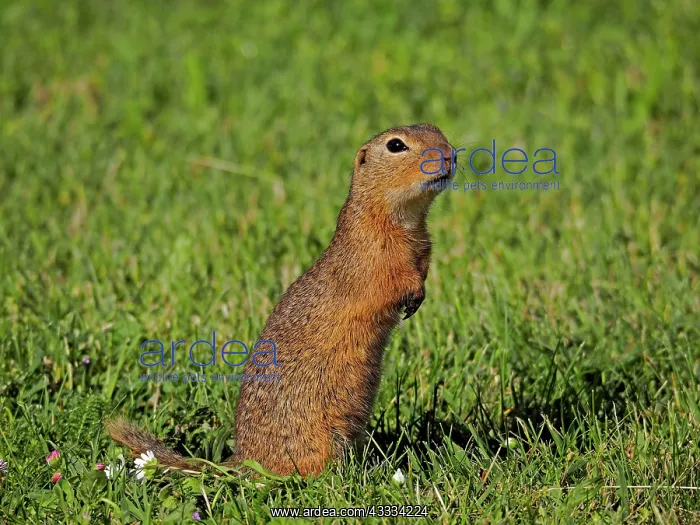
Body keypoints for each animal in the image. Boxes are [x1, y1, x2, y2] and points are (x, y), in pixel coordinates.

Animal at [107, 123, 455, 477]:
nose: (449, 155)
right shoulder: (373, 258)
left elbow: (422, 267)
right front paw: (413, 295)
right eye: (396, 145)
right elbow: (393, 281)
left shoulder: (422, 249)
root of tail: (241, 458)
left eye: (437, 130)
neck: (402, 218)